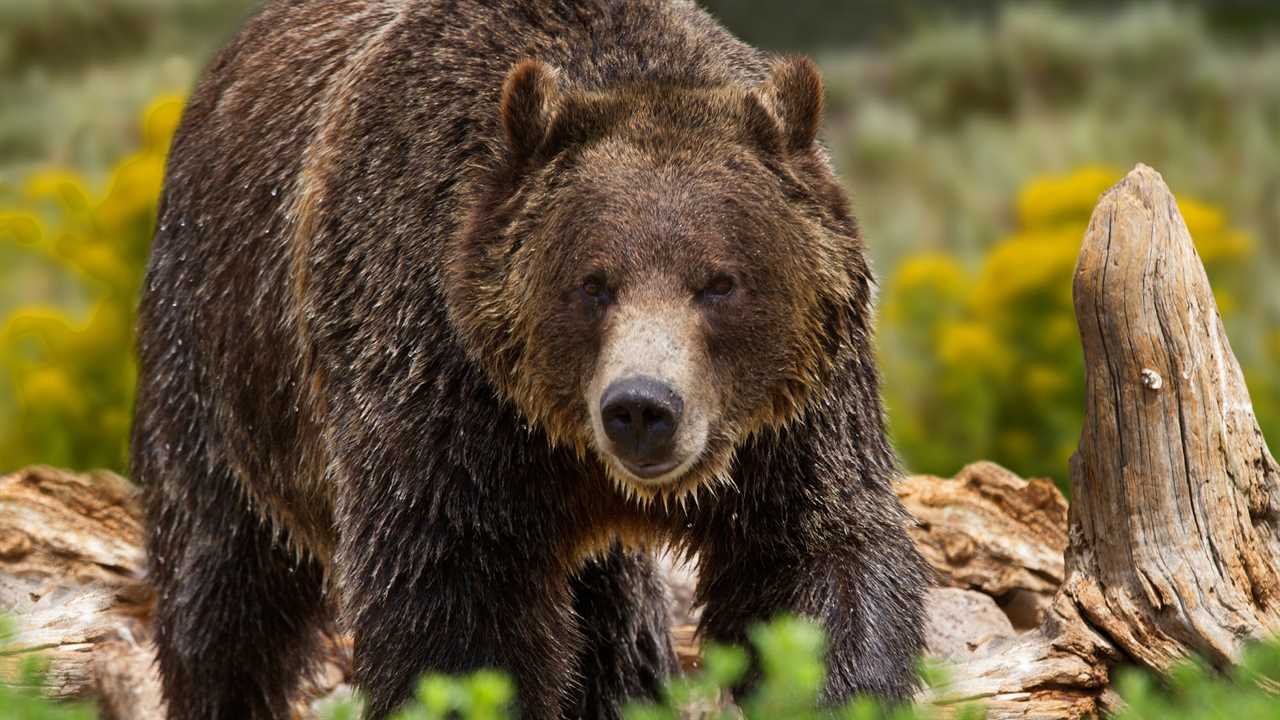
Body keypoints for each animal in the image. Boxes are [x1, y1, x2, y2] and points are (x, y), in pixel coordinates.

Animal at [131, 1, 931, 718]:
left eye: (719, 282)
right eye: (594, 283)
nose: (642, 408)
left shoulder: (791, 422)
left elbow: (811, 564)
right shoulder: (442, 390)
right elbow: (455, 615)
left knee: (613, 623)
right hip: (220, 359)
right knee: (221, 586)